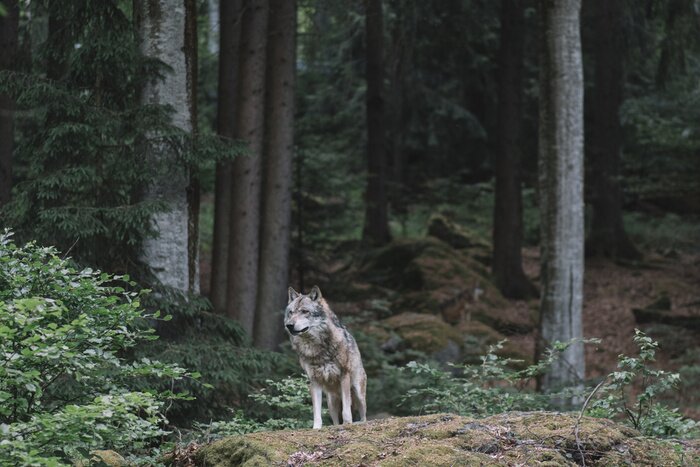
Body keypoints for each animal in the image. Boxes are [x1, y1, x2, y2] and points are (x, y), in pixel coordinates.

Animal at [284, 285, 367, 429]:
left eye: (305, 311)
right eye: (291, 312)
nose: (289, 325)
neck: (316, 348)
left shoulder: (344, 375)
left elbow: (346, 410)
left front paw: (348, 423)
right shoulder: (314, 380)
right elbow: (316, 411)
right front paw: (316, 428)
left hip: (358, 394)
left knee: (364, 416)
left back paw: (360, 422)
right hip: (331, 402)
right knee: (335, 421)